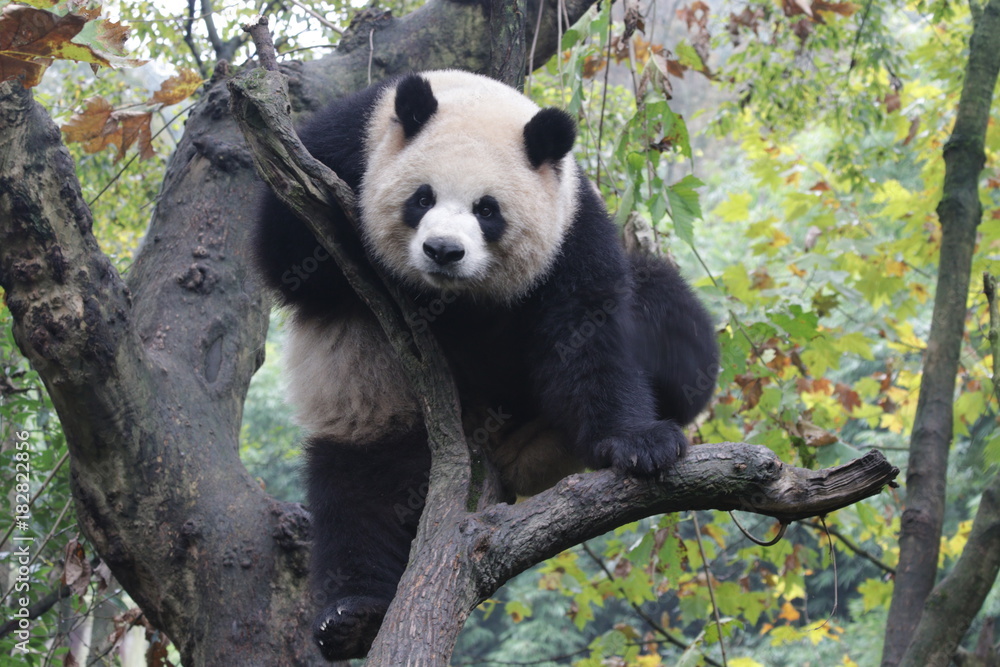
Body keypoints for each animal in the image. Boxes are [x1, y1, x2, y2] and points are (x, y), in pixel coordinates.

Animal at [253, 70, 719, 660]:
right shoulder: (342, 144)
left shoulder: (572, 228)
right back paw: (352, 615)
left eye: (487, 209)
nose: (443, 251)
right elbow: (289, 254)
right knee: (361, 491)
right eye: (422, 197)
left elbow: (587, 334)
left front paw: (638, 442)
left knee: (670, 315)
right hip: (378, 410)